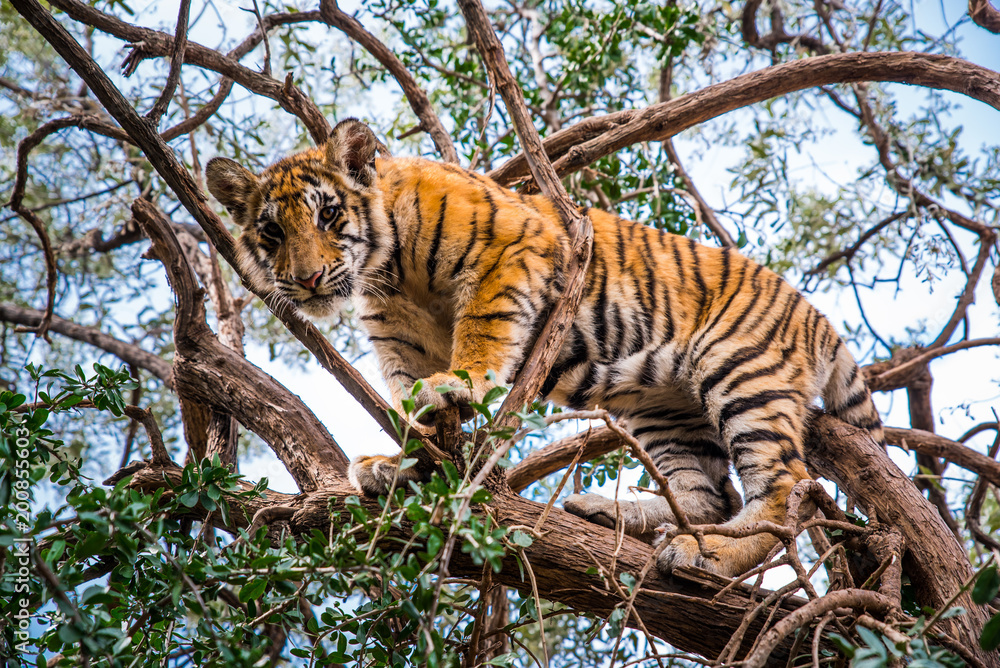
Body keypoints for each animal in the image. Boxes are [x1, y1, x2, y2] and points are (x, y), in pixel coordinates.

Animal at [205, 118, 884, 577]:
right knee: (710, 495)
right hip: (665, 410)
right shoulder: (399, 337)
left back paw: (705, 552)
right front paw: (401, 463)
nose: (308, 279)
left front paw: (458, 385)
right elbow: (404, 403)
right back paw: (614, 515)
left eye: (327, 216)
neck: (389, 271)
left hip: (742, 374)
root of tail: (818, 316)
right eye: (272, 231)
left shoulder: (507, 253)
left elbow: (482, 331)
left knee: (783, 492)